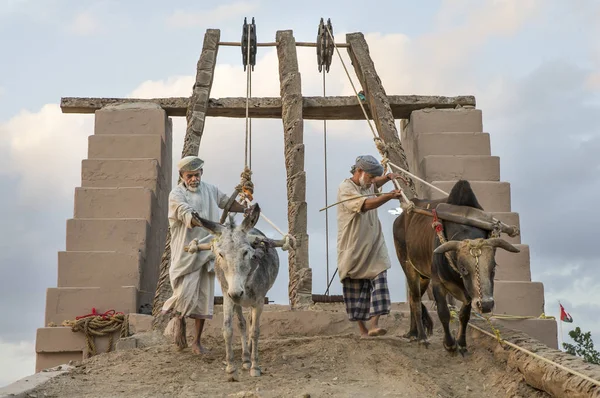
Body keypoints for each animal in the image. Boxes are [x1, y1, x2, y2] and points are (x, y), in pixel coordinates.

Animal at [394, 180, 520, 354]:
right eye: (463, 268)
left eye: (493, 268)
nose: (486, 305)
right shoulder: (438, 283)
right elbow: (444, 313)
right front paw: (449, 343)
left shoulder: (469, 294)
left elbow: (464, 316)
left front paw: (462, 343)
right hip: (408, 267)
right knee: (416, 300)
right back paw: (422, 337)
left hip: (423, 275)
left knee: (414, 300)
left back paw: (413, 333)